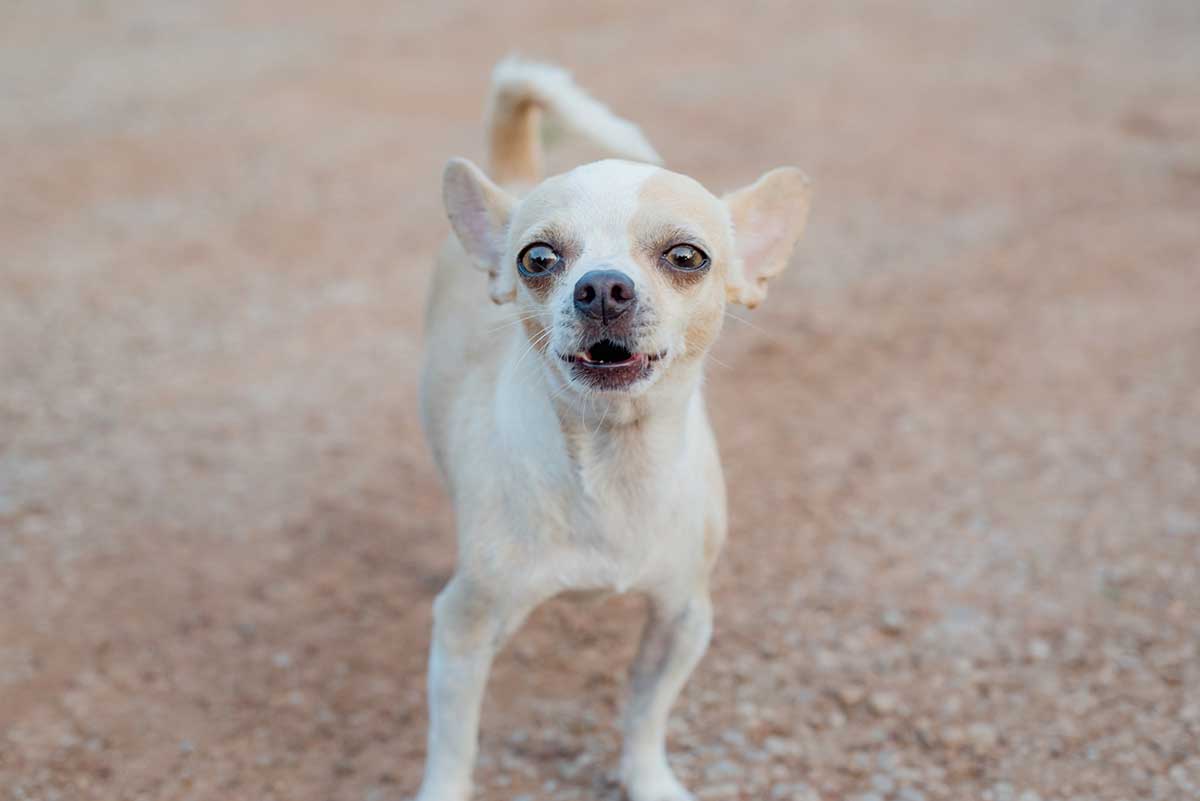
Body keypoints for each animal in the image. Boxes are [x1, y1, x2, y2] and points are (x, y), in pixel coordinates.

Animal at [415, 57, 816, 801]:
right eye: (537, 259)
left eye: (687, 257)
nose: (602, 286)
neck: (614, 458)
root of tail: (509, 179)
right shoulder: (463, 631)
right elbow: (454, 741)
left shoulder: (683, 618)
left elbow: (644, 711)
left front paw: (649, 779)